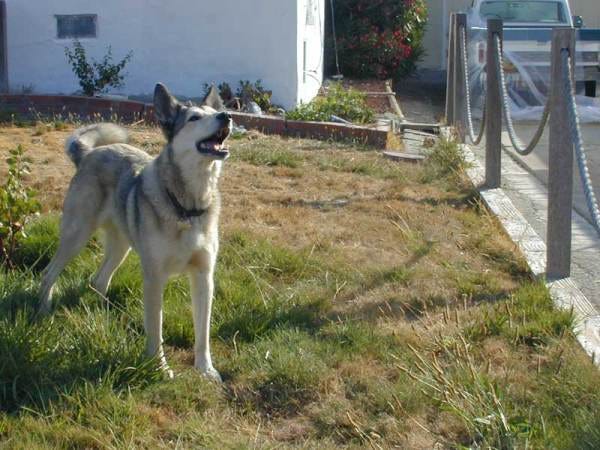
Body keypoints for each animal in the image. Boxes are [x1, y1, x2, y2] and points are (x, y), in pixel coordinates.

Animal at [39, 83, 232, 380]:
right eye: (195, 118)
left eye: (214, 112)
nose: (226, 115)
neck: (188, 205)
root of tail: (90, 154)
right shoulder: (154, 278)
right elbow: (155, 330)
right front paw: (159, 368)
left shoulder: (203, 276)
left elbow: (203, 333)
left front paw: (206, 369)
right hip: (76, 236)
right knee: (49, 273)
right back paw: (44, 309)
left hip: (121, 247)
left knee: (98, 280)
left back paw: (104, 314)